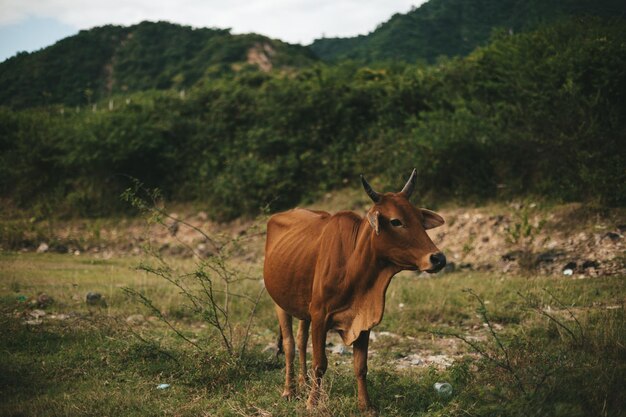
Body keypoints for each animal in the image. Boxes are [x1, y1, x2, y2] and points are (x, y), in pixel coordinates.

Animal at [262, 169, 444, 410]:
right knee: (290, 344)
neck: (353, 264)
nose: (438, 258)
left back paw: (303, 384)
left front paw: (366, 406)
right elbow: (320, 363)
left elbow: (361, 366)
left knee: (301, 341)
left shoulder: (363, 319)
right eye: (396, 221)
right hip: (279, 303)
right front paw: (313, 403)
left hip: (302, 306)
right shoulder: (319, 315)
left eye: (420, 219)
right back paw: (289, 391)